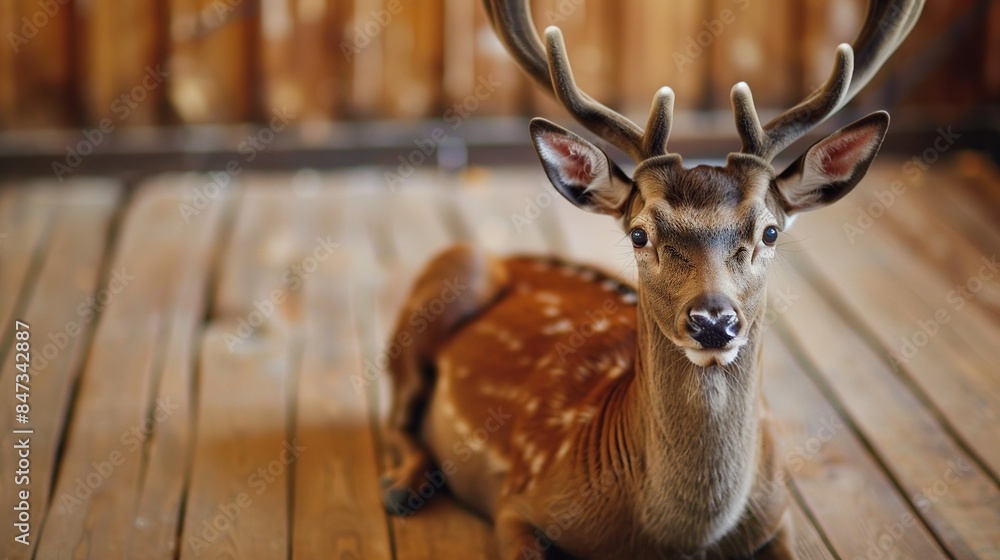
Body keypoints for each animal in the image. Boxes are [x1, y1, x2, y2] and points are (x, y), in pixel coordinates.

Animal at [380, 2, 920, 556]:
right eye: (640, 234)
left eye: (769, 231)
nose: (713, 321)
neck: (680, 538)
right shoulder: (518, 497)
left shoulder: (779, 512)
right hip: (444, 278)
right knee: (396, 411)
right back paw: (404, 487)